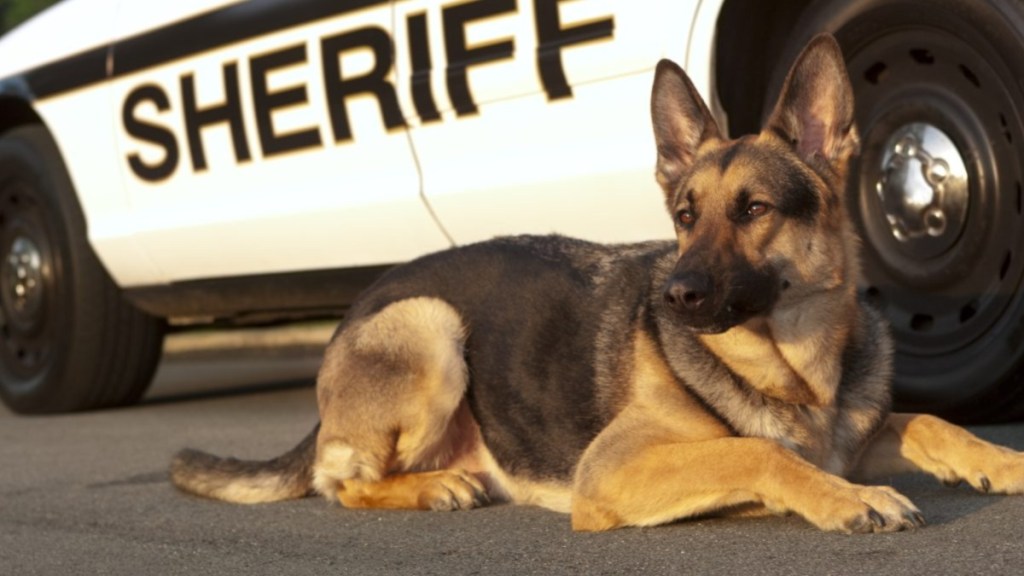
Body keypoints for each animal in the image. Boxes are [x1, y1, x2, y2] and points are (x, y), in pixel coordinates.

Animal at [172, 34, 1024, 528]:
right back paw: (429, 489)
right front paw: (846, 499)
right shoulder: (613, 469)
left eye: (753, 209)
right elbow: (758, 453)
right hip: (430, 325)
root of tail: (358, 309)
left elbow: (926, 421)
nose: (675, 294)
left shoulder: (855, 430)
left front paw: (1003, 461)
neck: (796, 369)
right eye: (684, 215)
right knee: (338, 481)